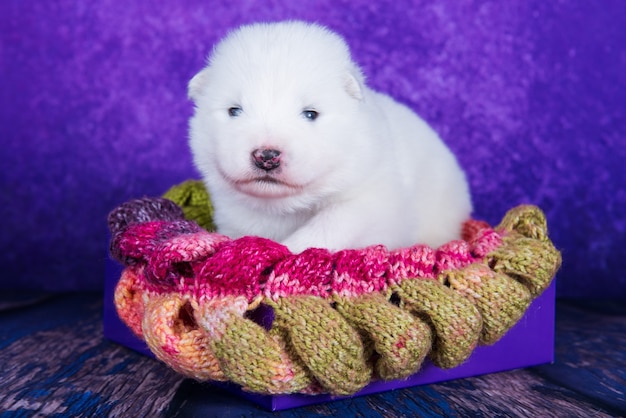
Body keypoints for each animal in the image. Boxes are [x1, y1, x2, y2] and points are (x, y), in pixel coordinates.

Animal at [188, 21, 470, 253]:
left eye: (310, 114)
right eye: (234, 110)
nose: (266, 156)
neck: (281, 208)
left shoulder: (372, 196)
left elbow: (331, 223)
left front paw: (289, 249)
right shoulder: (234, 215)